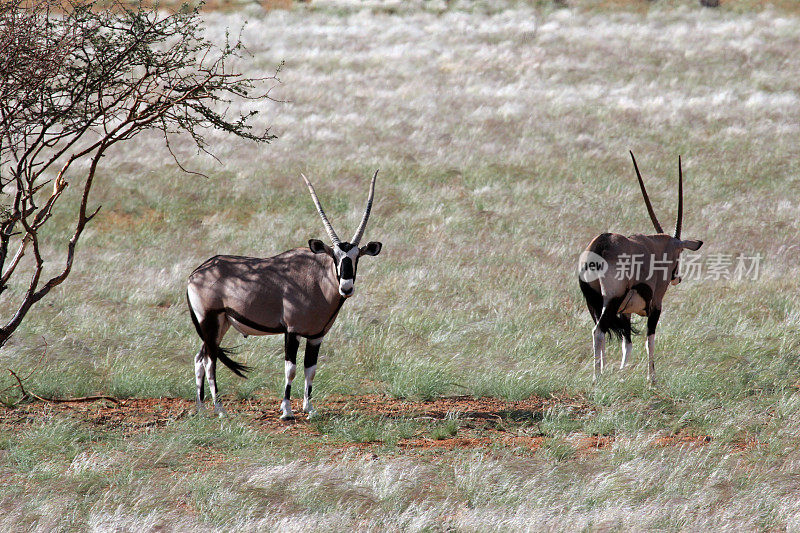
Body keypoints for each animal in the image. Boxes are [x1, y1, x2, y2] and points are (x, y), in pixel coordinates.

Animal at [191, 170, 384, 416]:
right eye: (335, 257)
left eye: (357, 257)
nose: (346, 287)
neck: (317, 280)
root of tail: (196, 273)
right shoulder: (291, 331)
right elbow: (290, 369)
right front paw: (287, 411)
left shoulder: (316, 336)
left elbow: (310, 369)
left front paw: (309, 408)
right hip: (209, 321)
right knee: (209, 361)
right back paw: (220, 409)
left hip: (220, 325)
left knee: (200, 358)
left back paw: (201, 409)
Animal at [580, 152, 704, 384]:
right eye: (679, 253)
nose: (676, 277)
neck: (656, 246)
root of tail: (601, 244)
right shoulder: (655, 305)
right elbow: (650, 341)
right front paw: (651, 379)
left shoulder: (626, 313)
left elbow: (626, 344)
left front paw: (622, 373)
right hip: (612, 299)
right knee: (598, 331)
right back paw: (597, 377)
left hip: (595, 303)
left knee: (601, 331)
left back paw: (602, 372)